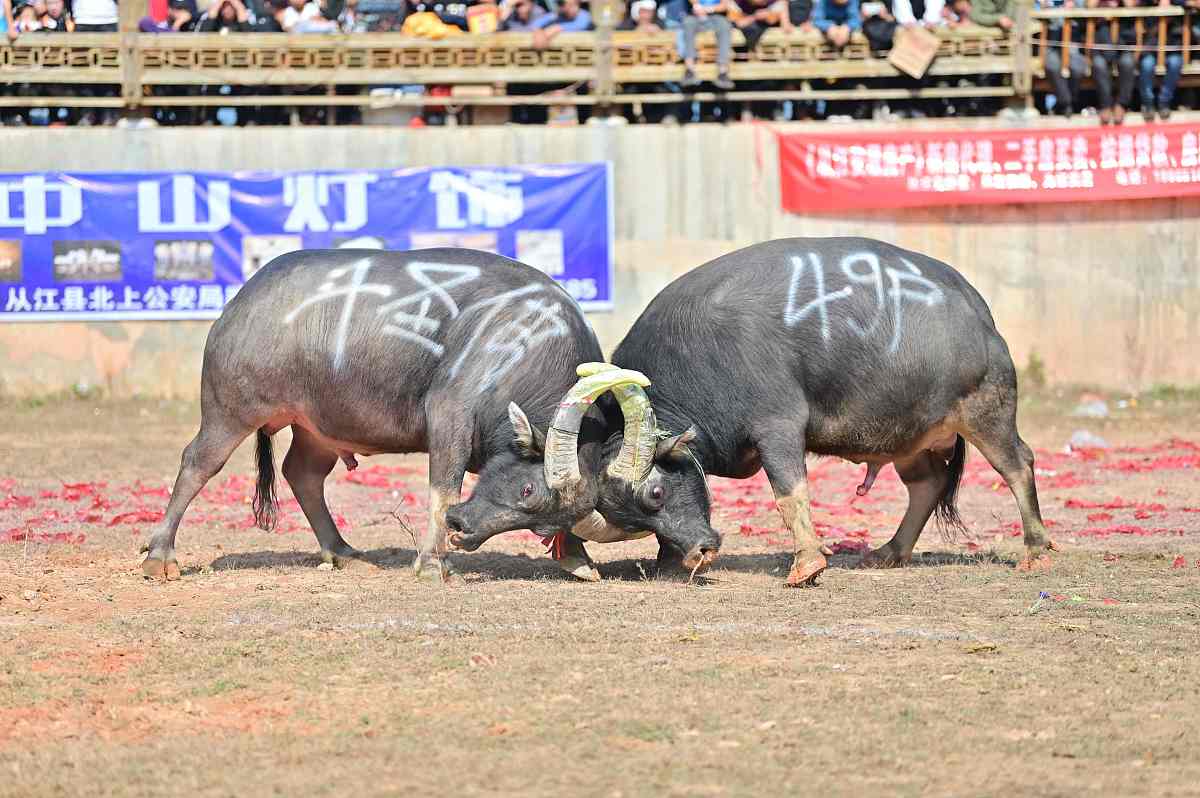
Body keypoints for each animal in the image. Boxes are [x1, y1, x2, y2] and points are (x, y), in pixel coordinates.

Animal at [140, 246, 672, 583]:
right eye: (525, 490)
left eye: (544, 522)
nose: (464, 532)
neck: (526, 344)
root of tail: (241, 300)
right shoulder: (449, 416)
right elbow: (444, 486)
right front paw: (432, 563)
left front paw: (578, 561)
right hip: (229, 409)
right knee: (197, 465)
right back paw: (160, 556)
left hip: (319, 428)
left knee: (302, 474)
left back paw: (343, 552)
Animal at [585, 236, 1056, 585]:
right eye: (633, 518)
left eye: (655, 492)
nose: (700, 551)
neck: (696, 358)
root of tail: (976, 308)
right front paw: (667, 558)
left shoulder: (777, 426)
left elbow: (789, 493)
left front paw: (807, 564)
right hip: (910, 437)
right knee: (928, 484)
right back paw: (890, 551)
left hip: (987, 411)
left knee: (1018, 465)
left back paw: (1035, 550)